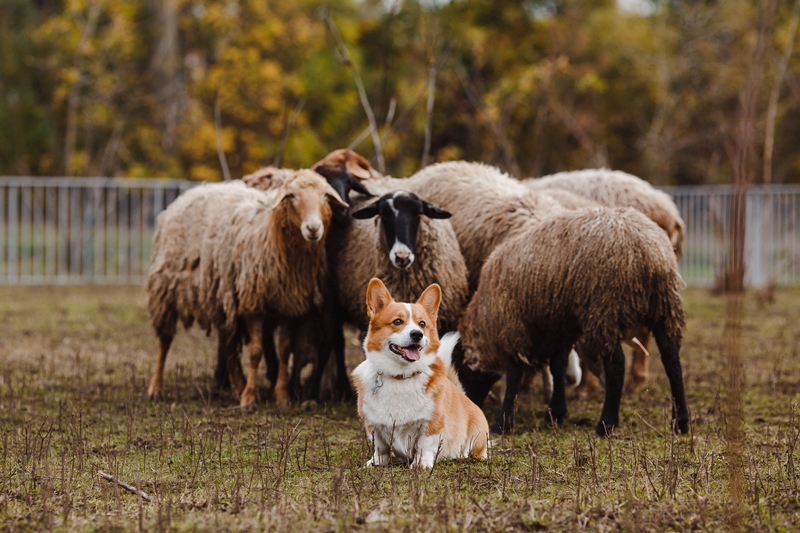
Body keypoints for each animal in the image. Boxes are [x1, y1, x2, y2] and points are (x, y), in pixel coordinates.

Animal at [145, 172, 346, 406]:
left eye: (325, 196)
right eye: (292, 196)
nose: (313, 228)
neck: (271, 232)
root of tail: (189, 194)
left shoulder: (289, 305)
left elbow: (284, 351)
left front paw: (282, 396)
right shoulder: (253, 303)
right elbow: (256, 353)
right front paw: (249, 398)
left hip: (221, 299)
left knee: (228, 346)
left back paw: (238, 386)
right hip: (165, 288)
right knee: (165, 340)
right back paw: (155, 388)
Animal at [354, 276, 490, 468]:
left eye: (422, 324)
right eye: (397, 321)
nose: (417, 334)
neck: (401, 376)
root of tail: (465, 397)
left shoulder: (432, 423)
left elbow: (424, 445)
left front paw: (421, 464)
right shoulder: (373, 424)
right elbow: (379, 447)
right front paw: (376, 463)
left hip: (477, 436)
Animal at [460, 206, 692, 434]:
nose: (472, 404)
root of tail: (649, 253)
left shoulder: (513, 325)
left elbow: (514, 375)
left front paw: (503, 424)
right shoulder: (560, 326)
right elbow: (558, 366)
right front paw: (555, 415)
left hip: (607, 307)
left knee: (616, 364)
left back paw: (606, 424)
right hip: (665, 307)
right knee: (672, 359)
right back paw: (680, 422)